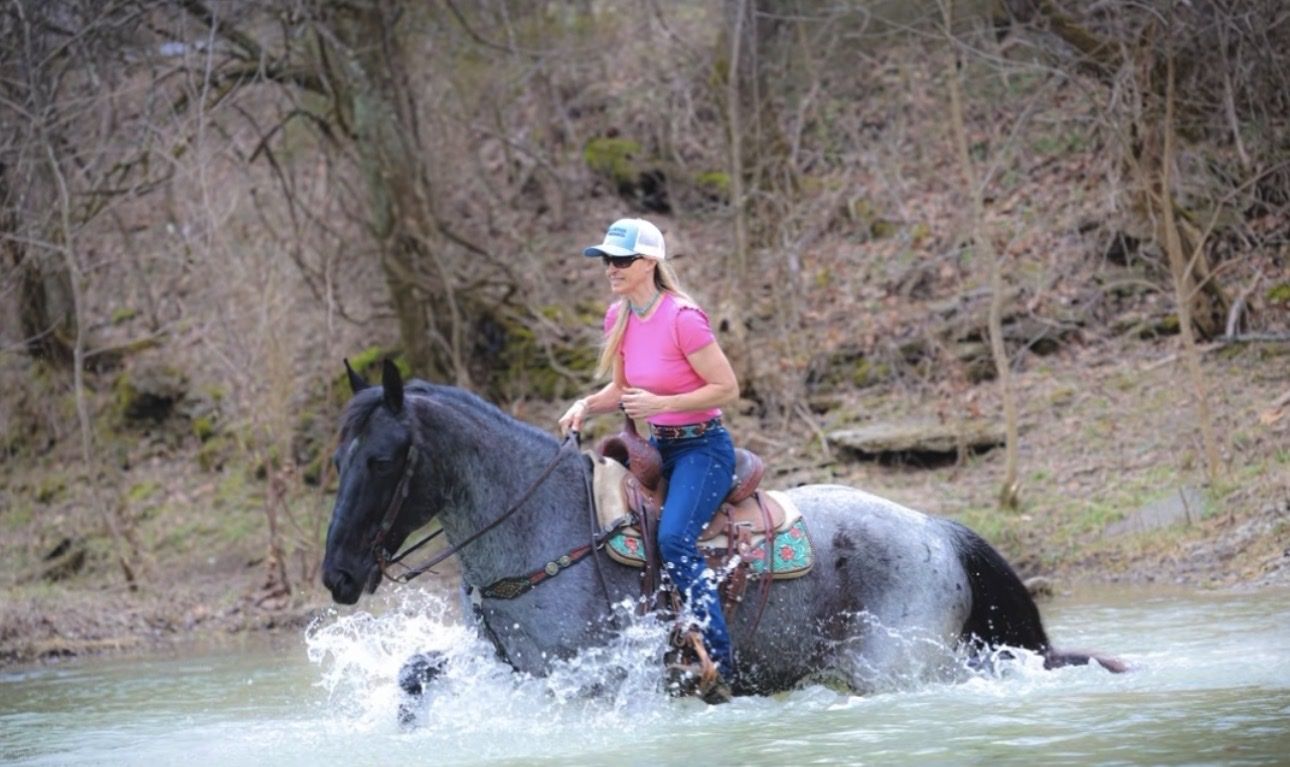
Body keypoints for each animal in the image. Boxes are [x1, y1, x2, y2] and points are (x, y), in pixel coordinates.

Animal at [321, 360, 1124, 699]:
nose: (338, 575)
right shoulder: (503, 663)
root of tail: (936, 529)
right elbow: (413, 673)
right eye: (339, 457)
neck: (542, 530)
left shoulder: (590, 676)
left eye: (384, 457)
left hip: (894, 665)